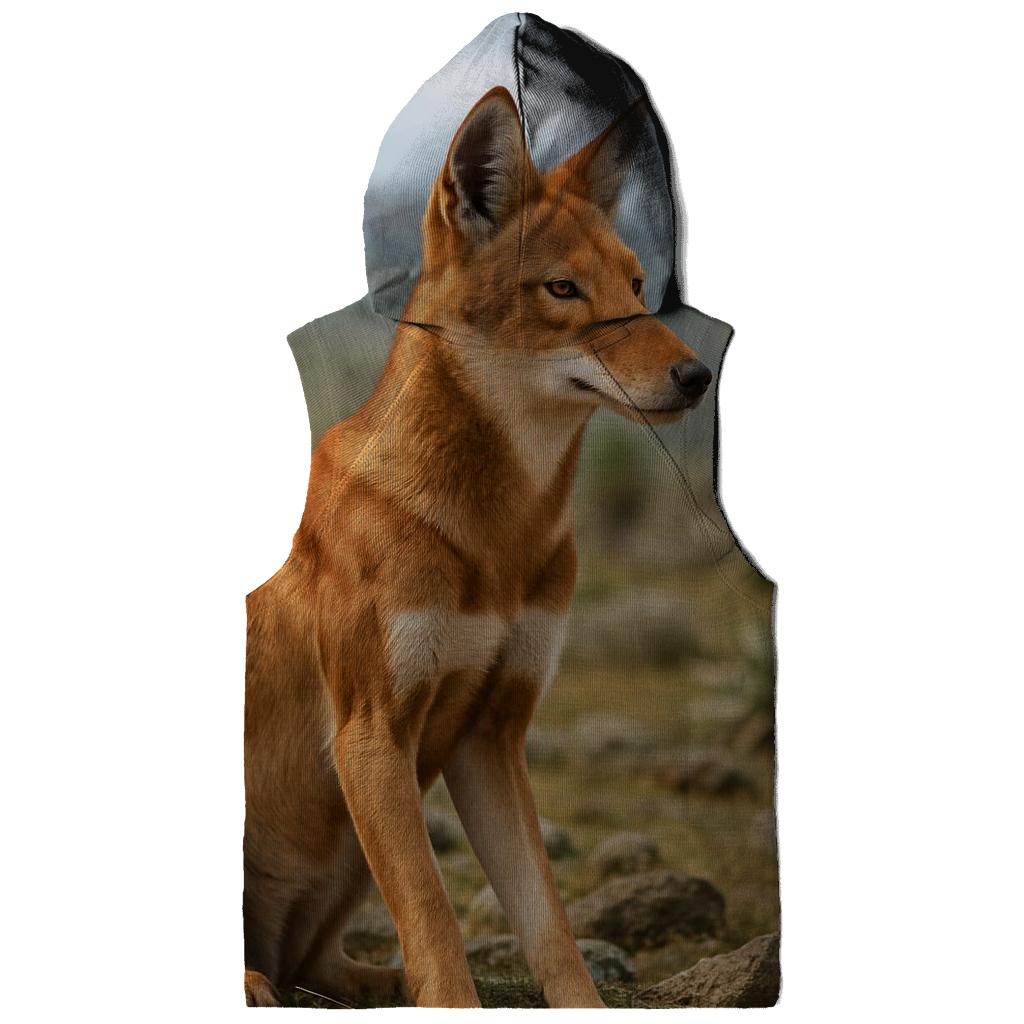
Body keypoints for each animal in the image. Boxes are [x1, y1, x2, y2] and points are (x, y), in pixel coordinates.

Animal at [244, 86, 711, 1008]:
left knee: (321, 967)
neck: (500, 533)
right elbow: (436, 917)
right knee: (283, 969)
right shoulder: (372, 736)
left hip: (349, 860)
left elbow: (550, 929)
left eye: (638, 286)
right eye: (563, 289)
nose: (696, 376)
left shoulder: (491, 738)